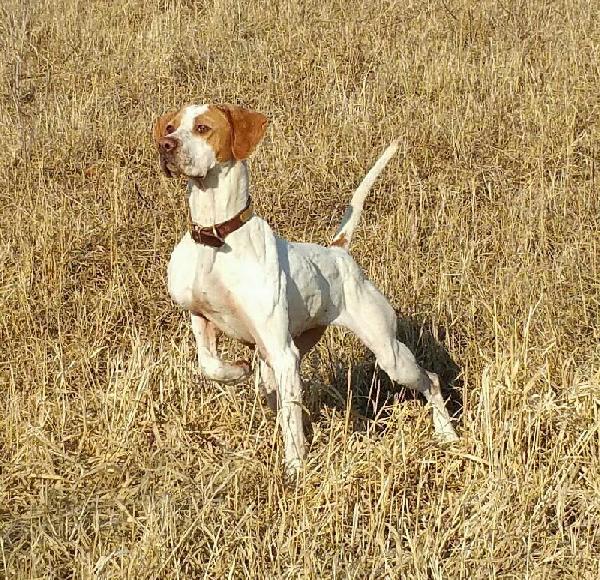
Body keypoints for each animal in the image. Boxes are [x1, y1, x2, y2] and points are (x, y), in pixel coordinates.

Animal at [152, 103, 458, 476]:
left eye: (202, 128)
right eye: (170, 127)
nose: (165, 146)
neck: (216, 238)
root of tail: (339, 252)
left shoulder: (284, 354)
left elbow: (291, 421)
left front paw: (295, 468)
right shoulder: (202, 318)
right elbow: (208, 365)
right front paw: (237, 369)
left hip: (390, 354)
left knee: (431, 379)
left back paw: (447, 434)